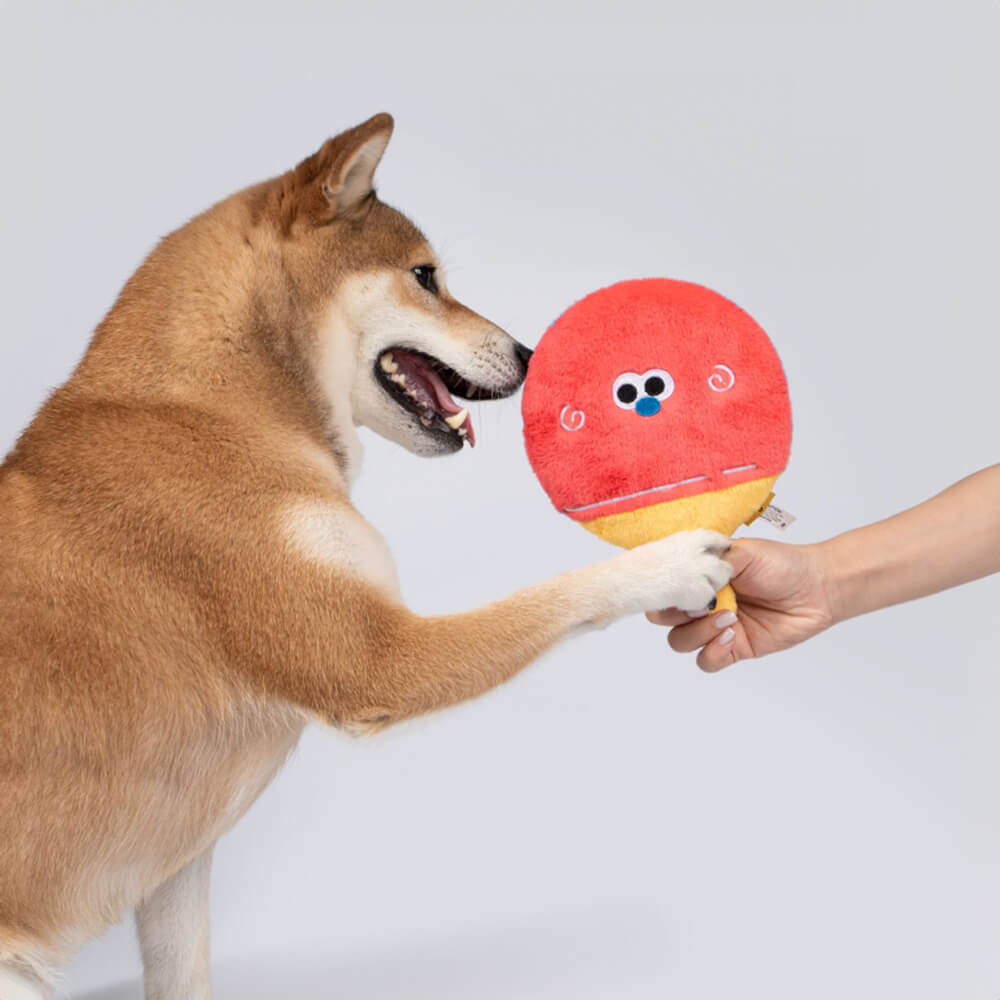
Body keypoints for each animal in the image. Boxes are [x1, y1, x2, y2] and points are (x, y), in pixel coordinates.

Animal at [0, 113, 736, 996]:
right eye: (425, 277)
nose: (529, 356)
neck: (213, 410)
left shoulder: (177, 872)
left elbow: (184, 975)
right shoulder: (374, 660)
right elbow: (555, 594)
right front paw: (667, 561)